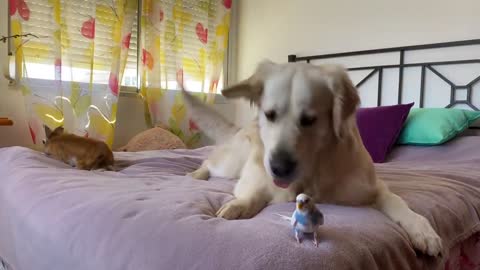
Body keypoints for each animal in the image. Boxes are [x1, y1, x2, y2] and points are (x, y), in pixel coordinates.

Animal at [183, 60, 442, 256]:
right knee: (209, 162)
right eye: (270, 115)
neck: (314, 172)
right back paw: (195, 174)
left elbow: (398, 203)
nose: (279, 167)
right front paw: (238, 205)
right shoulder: (256, 178)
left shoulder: (375, 189)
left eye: (309, 120)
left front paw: (423, 231)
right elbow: (255, 192)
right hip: (232, 164)